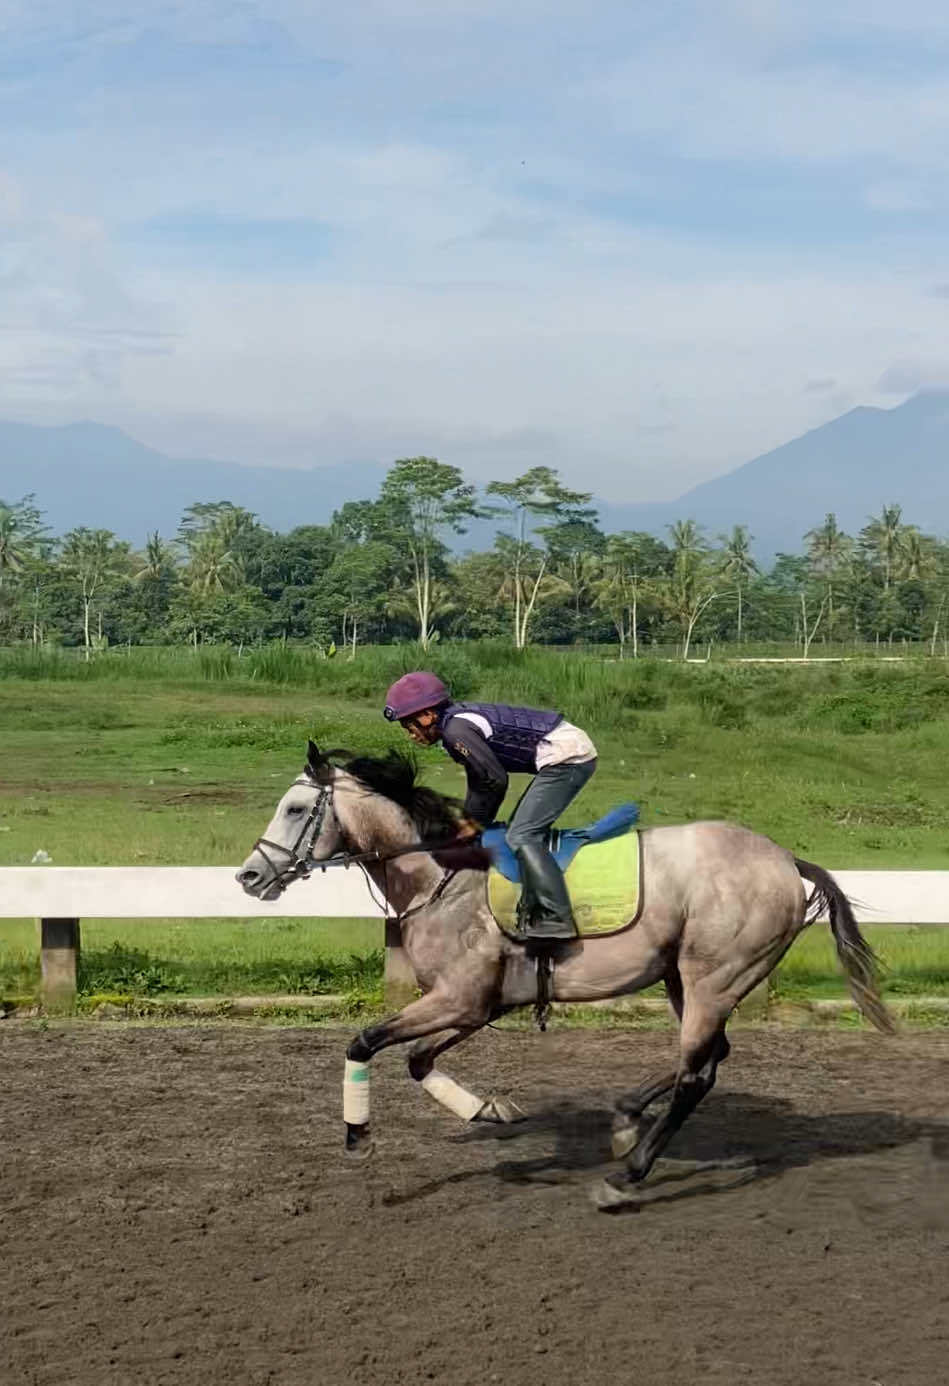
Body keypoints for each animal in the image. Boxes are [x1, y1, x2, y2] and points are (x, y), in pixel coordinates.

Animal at [232, 742, 892, 1208]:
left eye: (295, 808)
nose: (249, 877)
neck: (440, 875)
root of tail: (786, 860)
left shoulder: (459, 999)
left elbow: (363, 1042)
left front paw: (358, 1138)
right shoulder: (478, 1004)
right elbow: (419, 1060)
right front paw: (489, 1110)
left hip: (714, 977)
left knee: (696, 1075)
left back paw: (625, 1177)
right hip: (687, 979)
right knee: (707, 1058)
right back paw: (625, 1119)